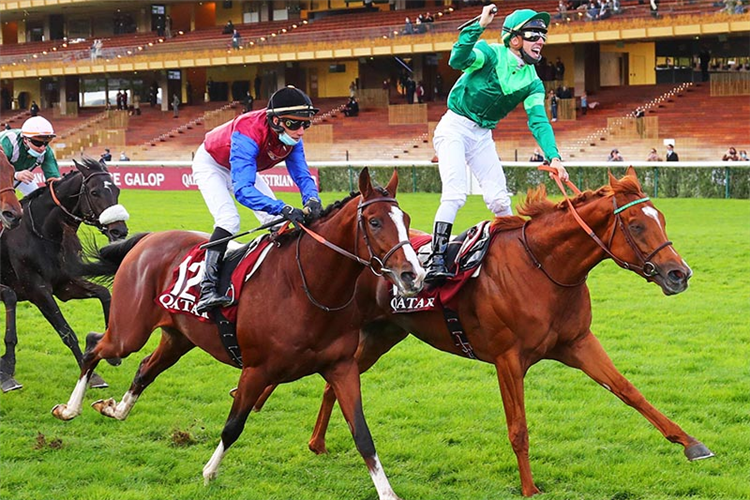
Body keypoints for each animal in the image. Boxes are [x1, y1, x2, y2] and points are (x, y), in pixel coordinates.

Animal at [0, 158, 130, 392]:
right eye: (95, 192)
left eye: (117, 189)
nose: (119, 231)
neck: (43, 234)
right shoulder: (37, 290)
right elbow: (66, 332)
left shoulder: (65, 284)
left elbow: (104, 294)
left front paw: (110, 351)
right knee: (10, 298)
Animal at [51, 169, 428, 500]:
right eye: (374, 221)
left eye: (407, 220)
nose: (413, 275)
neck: (307, 288)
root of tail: (148, 239)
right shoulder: (256, 370)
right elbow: (234, 425)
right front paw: (209, 473)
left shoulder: (342, 367)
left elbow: (362, 434)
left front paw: (388, 492)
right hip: (130, 331)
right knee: (95, 346)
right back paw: (69, 409)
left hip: (178, 337)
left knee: (144, 368)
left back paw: (115, 409)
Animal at [256, 167, 712, 496]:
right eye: (636, 225)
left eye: (661, 218)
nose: (680, 274)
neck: (543, 268)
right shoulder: (508, 359)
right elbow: (519, 427)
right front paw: (530, 488)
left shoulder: (577, 343)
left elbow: (630, 391)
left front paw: (691, 443)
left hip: (382, 335)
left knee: (332, 384)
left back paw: (316, 442)